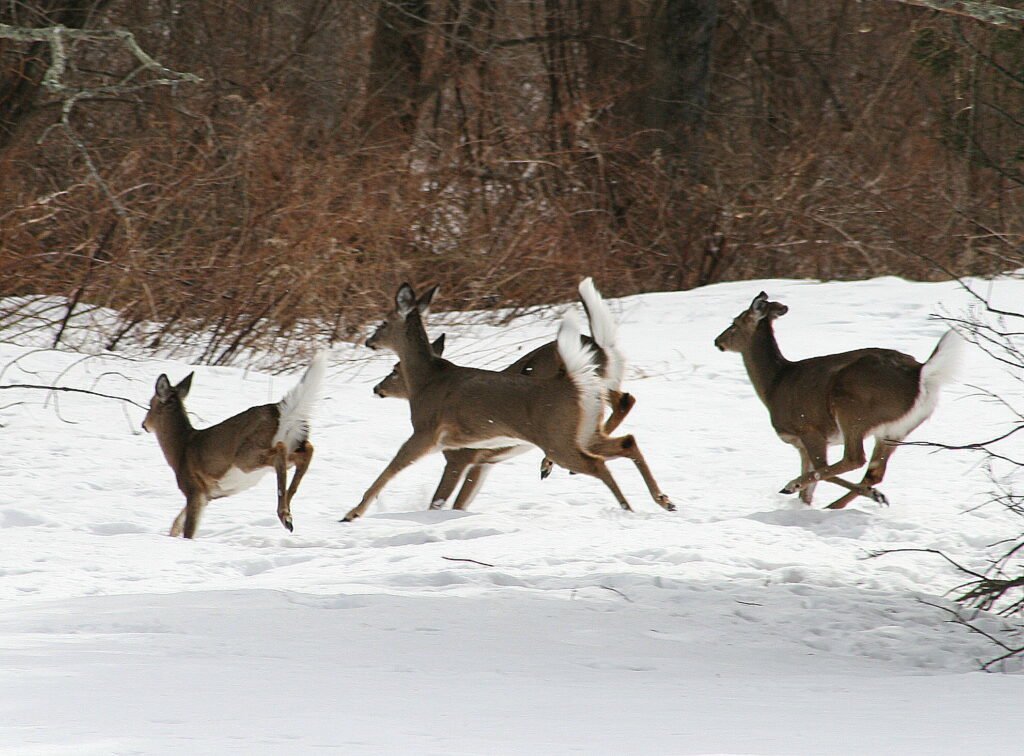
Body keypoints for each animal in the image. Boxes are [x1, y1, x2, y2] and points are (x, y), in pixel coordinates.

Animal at [142, 352, 326, 538]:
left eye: (150, 404)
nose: (144, 424)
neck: (180, 448)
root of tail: (279, 410)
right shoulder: (206, 496)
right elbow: (176, 523)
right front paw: (172, 535)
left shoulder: (194, 489)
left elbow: (188, 530)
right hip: (291, 445)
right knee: (307, 450)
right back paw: (288, 512)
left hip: (246, 455)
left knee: (280, 450)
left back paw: (284, 515)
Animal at [342, 282, 673, 521]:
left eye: (383, 323)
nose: (368, 341)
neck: (427, 380)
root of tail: (573, 381)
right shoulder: (475, 459)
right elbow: (455, 500)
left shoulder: (430, 434)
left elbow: (398, 472)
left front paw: (352, 513)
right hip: (582, 431)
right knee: (626, 440)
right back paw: (663, 501)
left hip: (558, 438)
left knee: (599, 460)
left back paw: (627, 507)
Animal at [714, 291, 962, 509]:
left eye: (734, 324)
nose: (717, 341)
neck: (774, 384)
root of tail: (919, 373)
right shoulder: (801, 444)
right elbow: (809, 491)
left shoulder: (809, 429)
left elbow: (819, 471)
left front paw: (794, 489)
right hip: (896, 430)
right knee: (874, 471)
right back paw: (845, 503)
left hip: (852, 409)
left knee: (855, 459)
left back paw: (795, 486)